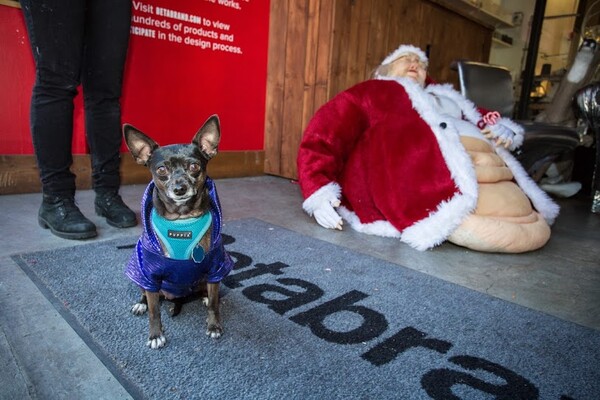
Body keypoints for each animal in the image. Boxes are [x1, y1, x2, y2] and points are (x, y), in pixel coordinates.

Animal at [123, 114, 233, 348]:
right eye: (161, 170)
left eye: (194, 166)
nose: (179, 188)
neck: (182, 221)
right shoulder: (150, 274)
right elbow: (154, 311)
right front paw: (155, 335)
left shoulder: (215, 269)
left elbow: (214, 304)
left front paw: (214, 326)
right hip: (142, 275)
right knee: (146, 294)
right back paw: (140, 303)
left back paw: (204, 296)